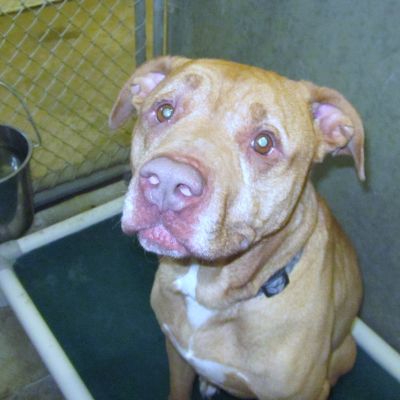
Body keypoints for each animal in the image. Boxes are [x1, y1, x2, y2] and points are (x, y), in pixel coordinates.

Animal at [109, 57, 364, 400]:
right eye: (164, 111)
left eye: (264, 143)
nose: (167, 182)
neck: (209, 291)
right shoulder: (176, 354)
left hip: (345, 352)